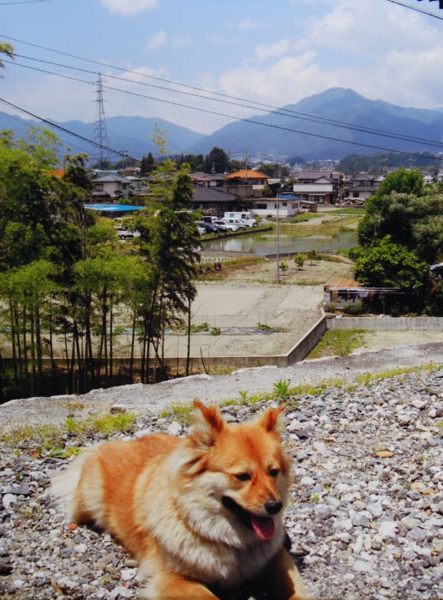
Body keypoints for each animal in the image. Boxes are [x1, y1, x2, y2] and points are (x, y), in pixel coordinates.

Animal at [51, 398, 308, 600]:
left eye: (273, 472)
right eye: (242, 476)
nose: (275, 506)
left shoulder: (276, 558)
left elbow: (295, 588)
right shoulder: (169, 578)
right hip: (87, 504)